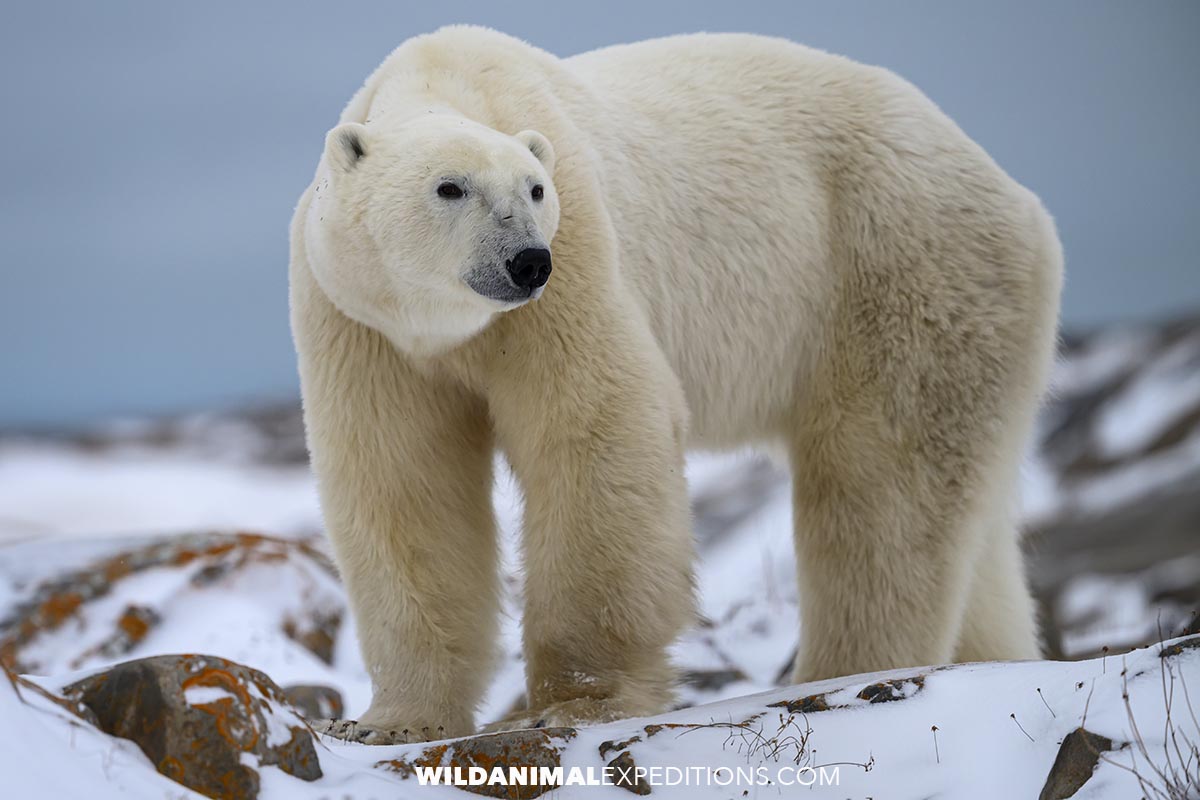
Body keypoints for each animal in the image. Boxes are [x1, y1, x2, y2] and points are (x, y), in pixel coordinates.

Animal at [289, 26, 1063, 744]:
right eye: (450, 187)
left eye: (535, 189)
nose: (526, 261)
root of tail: (1020, 200)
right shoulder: (361, 321)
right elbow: (402, 481)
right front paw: (391, 721)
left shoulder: (577, 264)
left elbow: (598, 430)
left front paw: (578, 702)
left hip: (896, 272)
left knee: (882, 487)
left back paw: (849, 671)